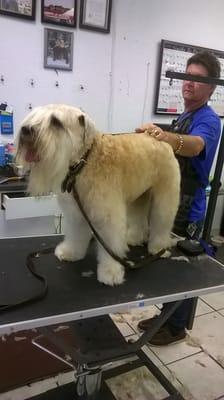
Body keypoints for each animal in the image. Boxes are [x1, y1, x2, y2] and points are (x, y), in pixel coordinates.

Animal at [16, 103, 180, 284]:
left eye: (56, 121)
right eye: (34, 115)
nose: (26, 129)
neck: (84, 162)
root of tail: (161, 140)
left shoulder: (108, 217)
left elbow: (110, 244)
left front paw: (110, 272)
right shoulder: (76, 212)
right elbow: (76, 234)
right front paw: (71, 253)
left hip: (164, 198)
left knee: (161, 222)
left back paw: (159, 248)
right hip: (139, 197)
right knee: (138, 217)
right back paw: (134, 238)